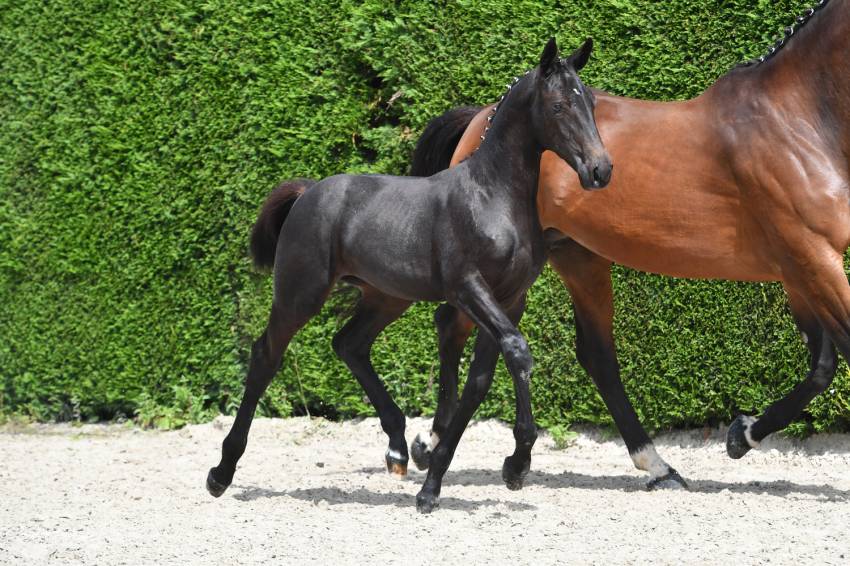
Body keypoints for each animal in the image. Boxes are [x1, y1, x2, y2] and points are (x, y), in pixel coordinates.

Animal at [206, 38, 613, 513]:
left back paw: (398, 449)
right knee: (265, 356)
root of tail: (308, 192)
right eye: (559, 105)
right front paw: (509, 464)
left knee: (348, 344)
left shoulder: (510, 299)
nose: (600, 170)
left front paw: (456, 474)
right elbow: (516, 351)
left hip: (386, 297)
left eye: (589, 102)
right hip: (300, 293)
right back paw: (221, 473)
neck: (491, 197)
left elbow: (482, 378)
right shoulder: (468, 288)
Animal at [410, 0, 850, 490]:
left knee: (590, 355)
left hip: (574, 258)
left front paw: (742, 434)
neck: (796, 120)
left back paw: (651, 466)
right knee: (457, 327)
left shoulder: (800, 269)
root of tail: (481, 120)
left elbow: (822, 366)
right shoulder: (813, 259)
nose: (600, 169)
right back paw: (430, 447)